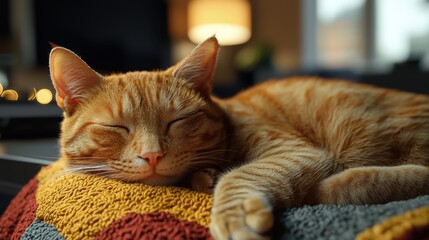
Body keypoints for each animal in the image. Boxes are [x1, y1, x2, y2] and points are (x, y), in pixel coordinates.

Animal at [50, 36, 428, 239]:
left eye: (177, 121)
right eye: (118, 127)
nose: (153, 155)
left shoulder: (294, 151)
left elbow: (241, 175)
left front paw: (233, 215)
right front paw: (207, 177)